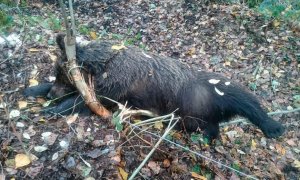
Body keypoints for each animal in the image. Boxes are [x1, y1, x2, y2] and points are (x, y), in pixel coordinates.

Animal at [44, 34, 284, 140]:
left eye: (60, 73)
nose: (50, 94)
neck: (104, 64)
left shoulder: (112, 89)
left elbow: (82, 101)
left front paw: (51, 110)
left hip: (222, 92)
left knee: (250, 103)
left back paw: (275, 127)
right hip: (197, 117)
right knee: (210, 127)